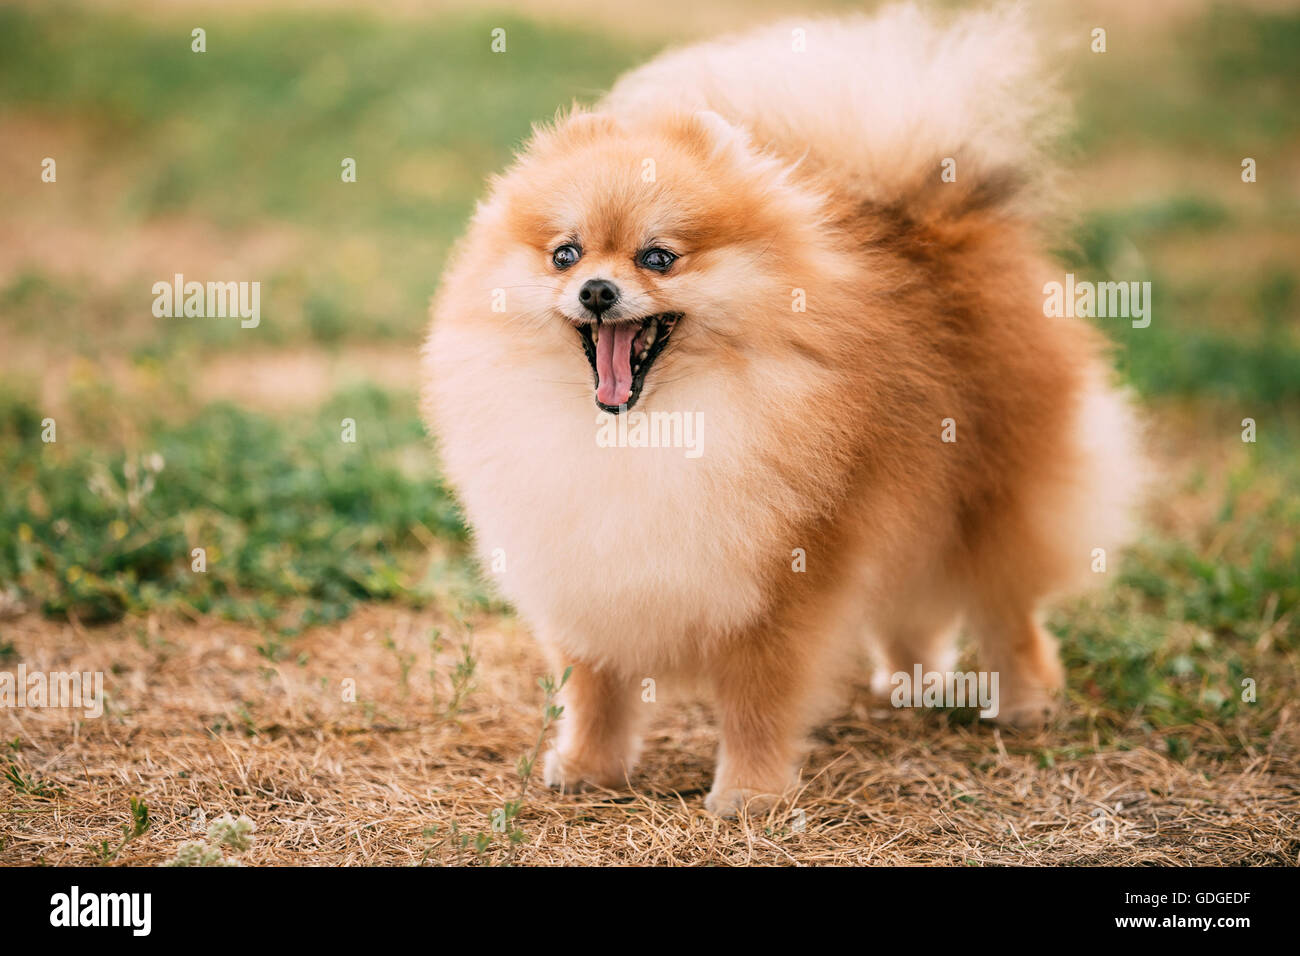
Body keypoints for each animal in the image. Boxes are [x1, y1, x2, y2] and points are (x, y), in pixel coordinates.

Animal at [421, 3, 1144, 816]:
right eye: (565, 255)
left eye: (658, 257)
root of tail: (937, 220)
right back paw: (909, 685)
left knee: (1006, 606)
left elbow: (757, 702)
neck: (648, 429)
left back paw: (1024, 702)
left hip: (991, 496)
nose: (597, 290)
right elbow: (596, 687)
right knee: (911, 603)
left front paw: (749, 793)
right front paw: (586, 768)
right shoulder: (583, 575)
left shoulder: (780, 583)